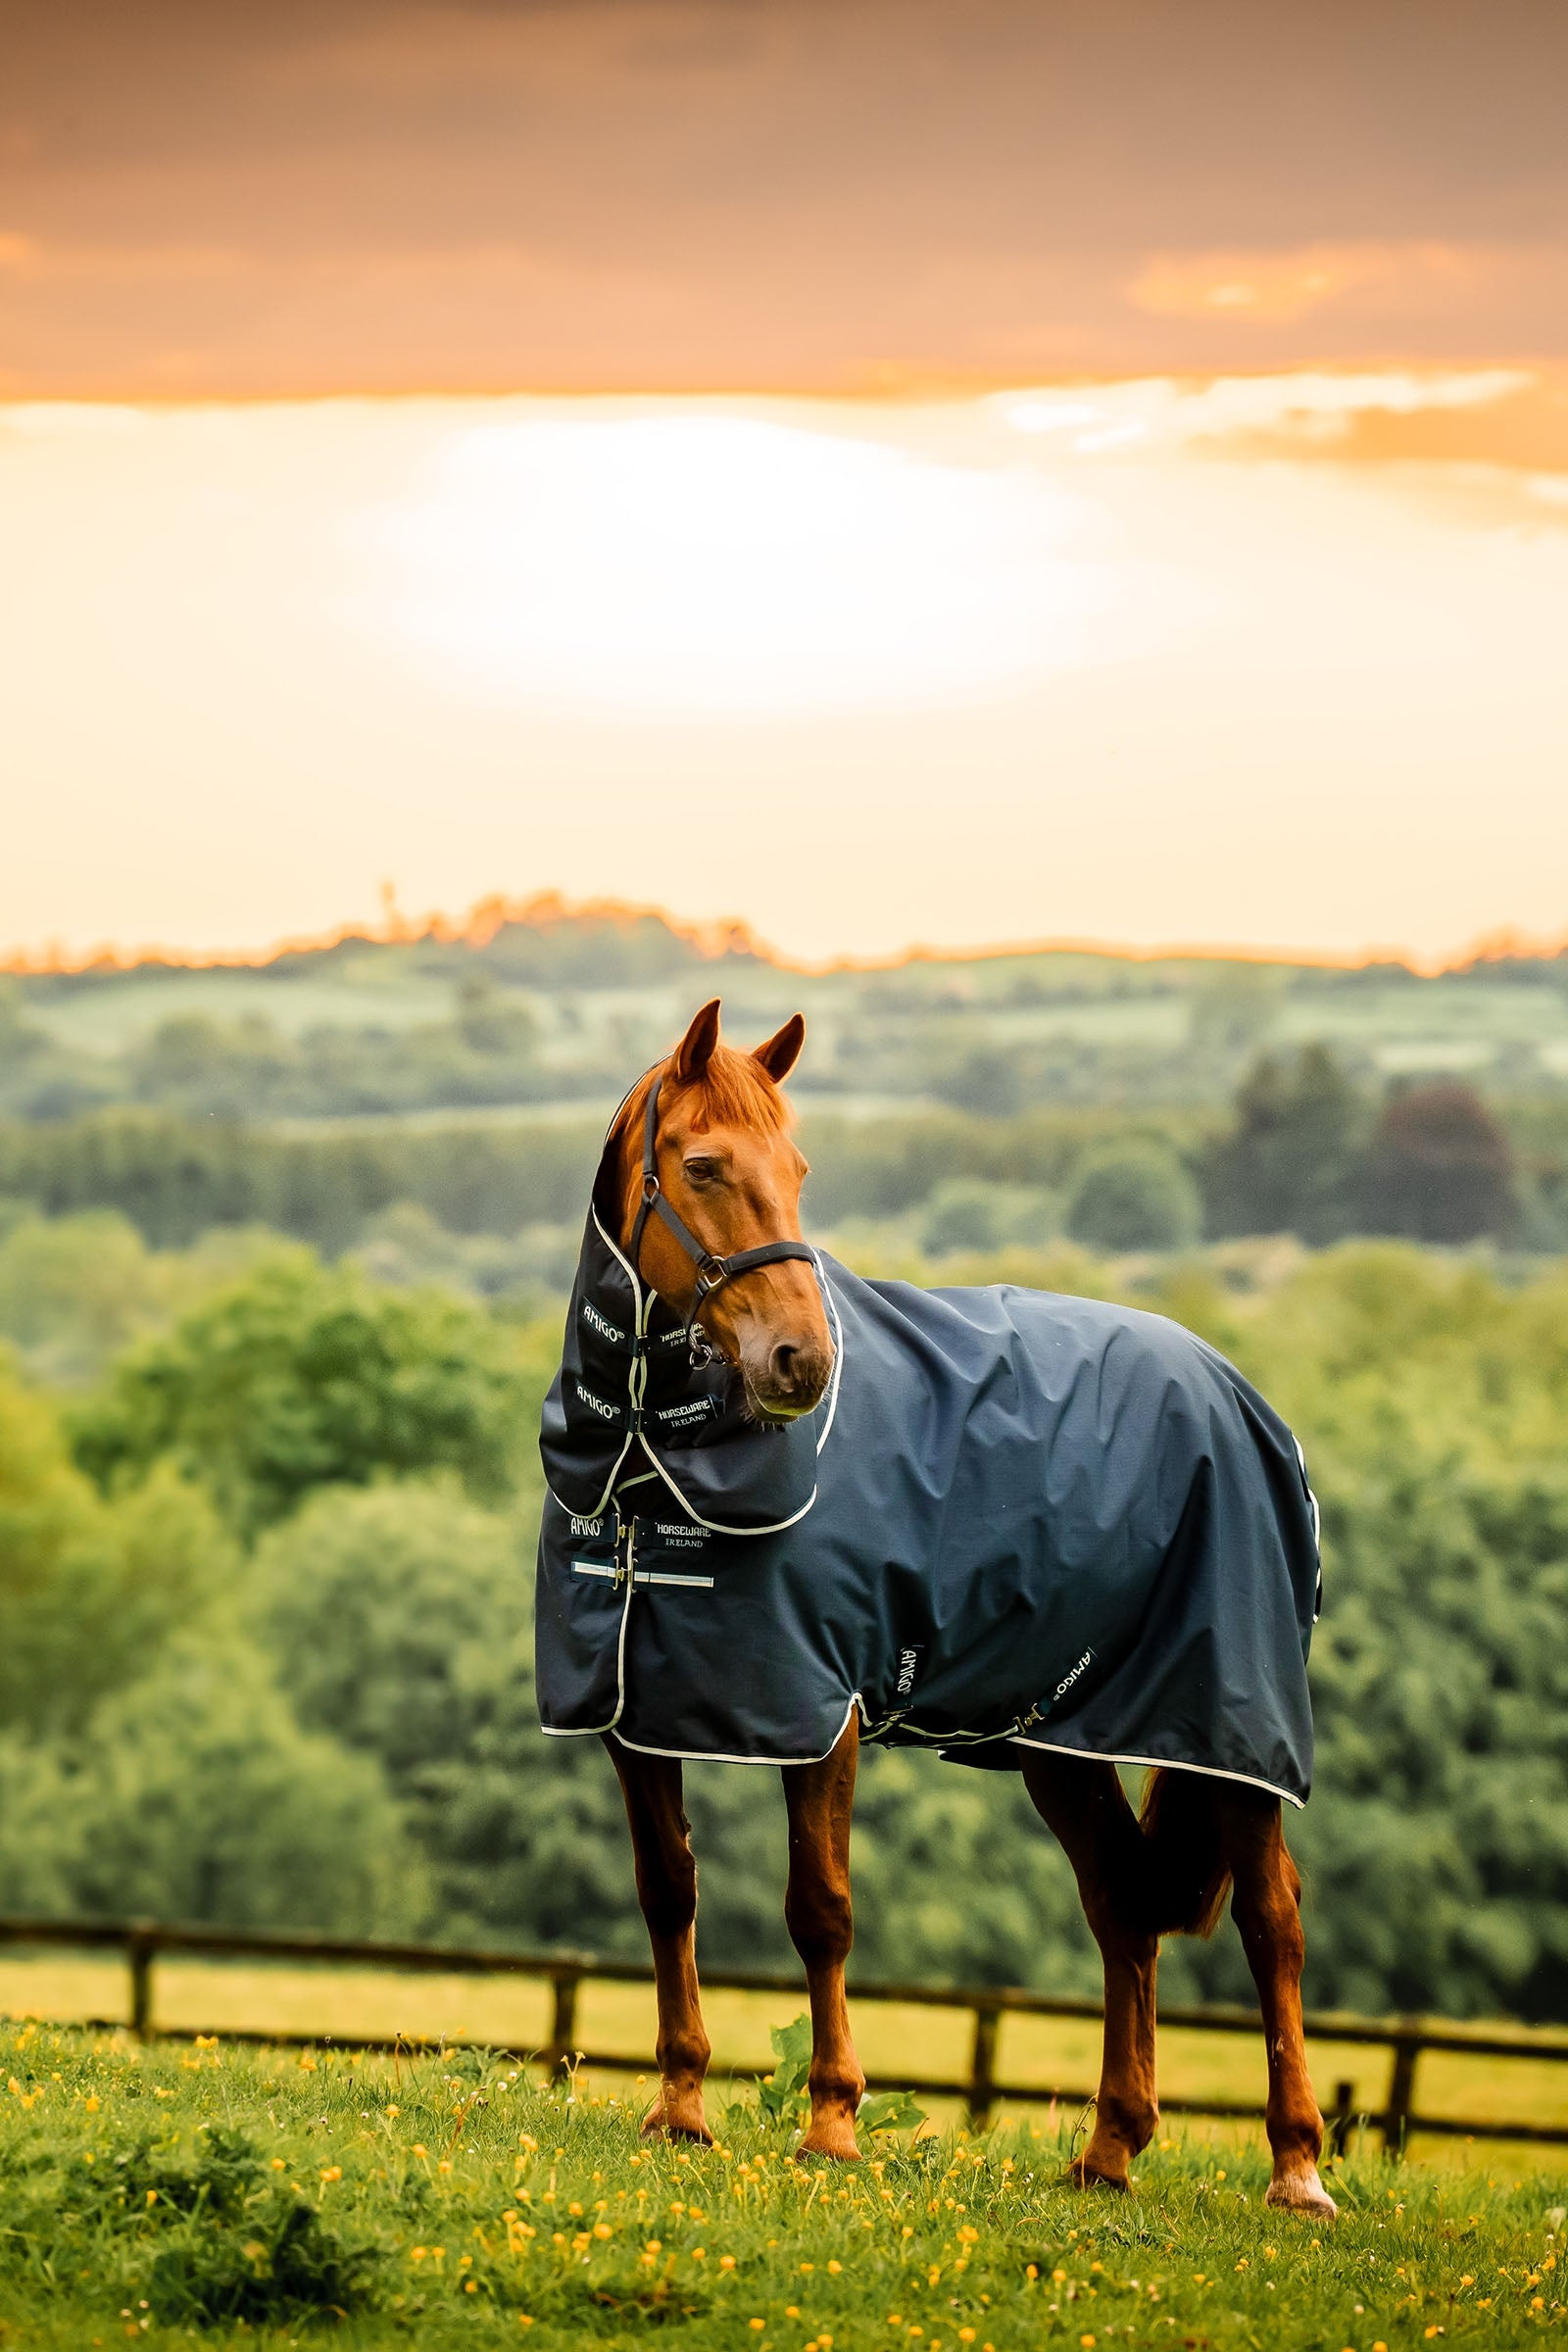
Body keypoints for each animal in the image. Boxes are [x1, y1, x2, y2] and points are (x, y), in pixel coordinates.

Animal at [544, 996, 1334, 2219]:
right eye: (705, 1164)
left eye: (798, 1169)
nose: (801, 1363)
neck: (646, 1469)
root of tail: (1241, 1396)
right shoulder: (636, 1715)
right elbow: (666, 1893)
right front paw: (678, 2106)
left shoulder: (821, 1715)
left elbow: (819, 1909)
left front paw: (830, 2124)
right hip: (1065, 1741)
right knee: (1122, 1909)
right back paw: (1110, 2150)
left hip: (1228, 1733)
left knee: (1272, 1923)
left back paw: (1296, 2169)